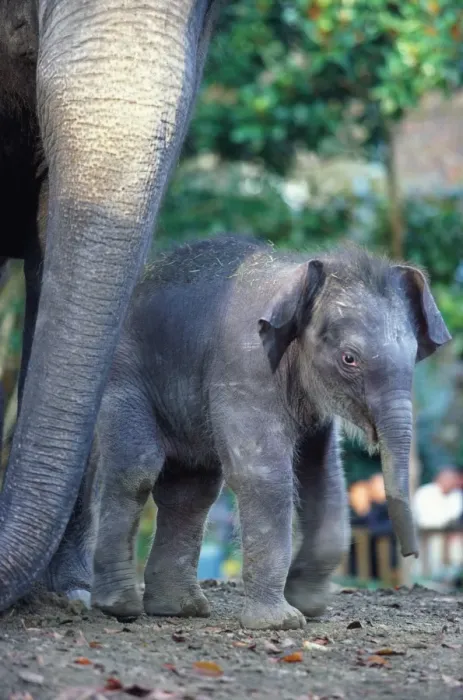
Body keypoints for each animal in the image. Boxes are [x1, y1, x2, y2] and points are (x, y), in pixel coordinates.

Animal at [76, 235, 450, 629]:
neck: (298, 277)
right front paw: (281, 621)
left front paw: (308, 604)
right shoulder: (245, 368)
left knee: (191, 491)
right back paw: (120, 607)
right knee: (138, 468)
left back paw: (180, 608)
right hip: (121, 376)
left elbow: (324, 475)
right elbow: (263, 475)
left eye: (414, 357)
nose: (411, 554)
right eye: (349, 359)